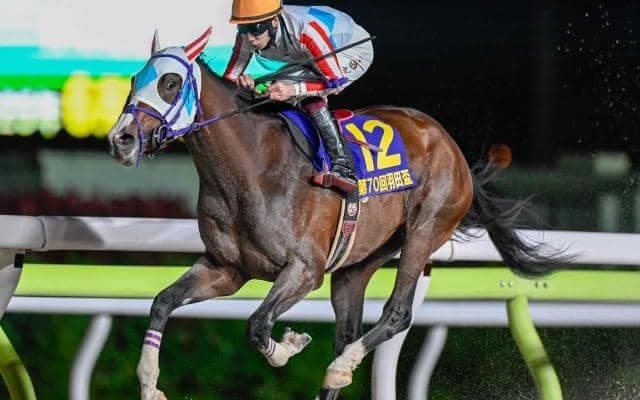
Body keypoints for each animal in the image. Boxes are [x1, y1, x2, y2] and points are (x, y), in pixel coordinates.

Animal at [107, 28, 564, 400]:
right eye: (133, 79)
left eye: (170, 83)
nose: (120, 139)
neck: (250, 169)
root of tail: (452, 147)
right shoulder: (226, 269)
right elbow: (163, 302)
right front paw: (149, 384)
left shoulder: (304, 270)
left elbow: (258, 325)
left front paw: (291, 345)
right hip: (356, 265)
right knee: (346, 332)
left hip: (424, 230)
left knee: (396, 314)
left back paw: (342, 367)